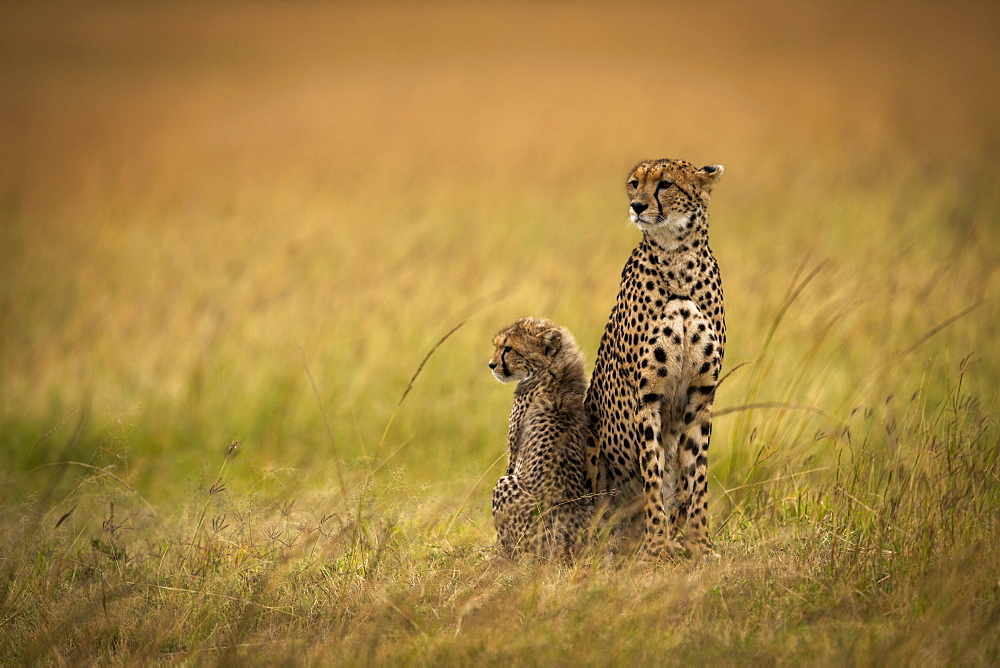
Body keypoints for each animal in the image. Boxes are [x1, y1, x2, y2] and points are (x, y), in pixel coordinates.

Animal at [584, 158, 728, 560]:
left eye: (665, 184)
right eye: (634, 184)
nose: (637, 206)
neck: (677, 256)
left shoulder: (701, 398)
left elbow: (696, 478)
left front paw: (700, 545)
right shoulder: (646, 397)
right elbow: (652, 473)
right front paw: (655, 549)